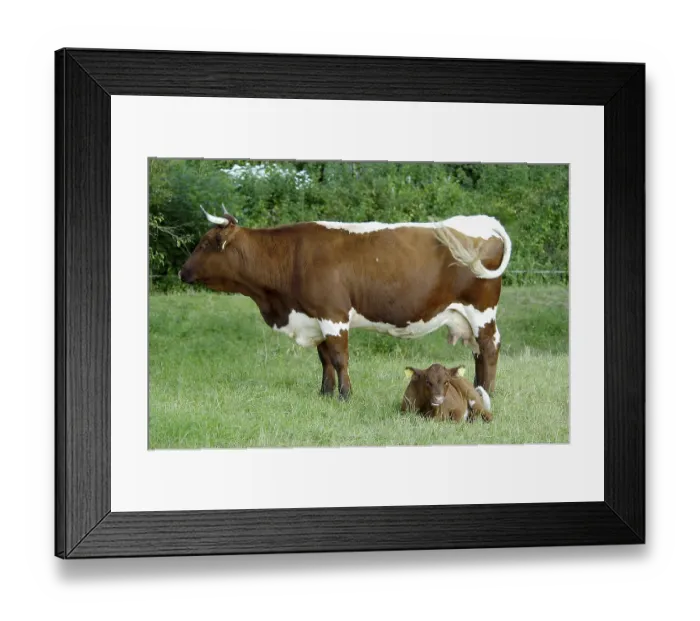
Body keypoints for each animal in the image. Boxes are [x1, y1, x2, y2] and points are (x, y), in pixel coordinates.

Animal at [179, 205, 512, 400]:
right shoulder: (314, 317)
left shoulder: (333, 315)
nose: (182, 271)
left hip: (481, 311)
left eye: (205, 244)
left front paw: (345, 395)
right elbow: (324, 357)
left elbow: (339, 358)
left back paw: (488, 392)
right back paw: (477, 390)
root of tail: (485, 221)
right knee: (478, 352)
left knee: (489, 348)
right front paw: (325, 393)